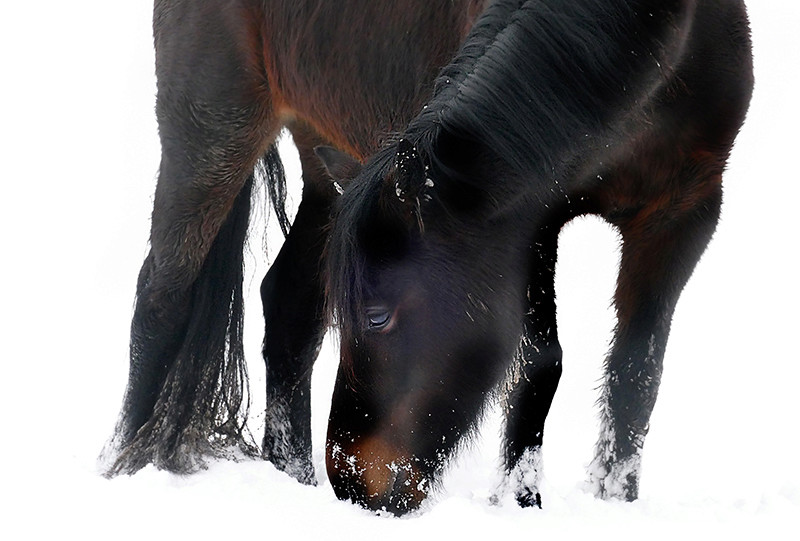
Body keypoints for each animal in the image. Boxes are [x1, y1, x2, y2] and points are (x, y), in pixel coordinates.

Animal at [103, 0, 490, 480]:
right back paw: (121, 461)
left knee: (290, 305)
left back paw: (295, 472)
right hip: (211, 130)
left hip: (331, 161)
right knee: (162, 298)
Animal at [318, 0, 752, 516]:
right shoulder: (531, 221)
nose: (349, 481)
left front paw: (615, 498)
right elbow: (539, 363)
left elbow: (636, 370)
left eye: (378, 317)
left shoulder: (685, 211)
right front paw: (518, 501)